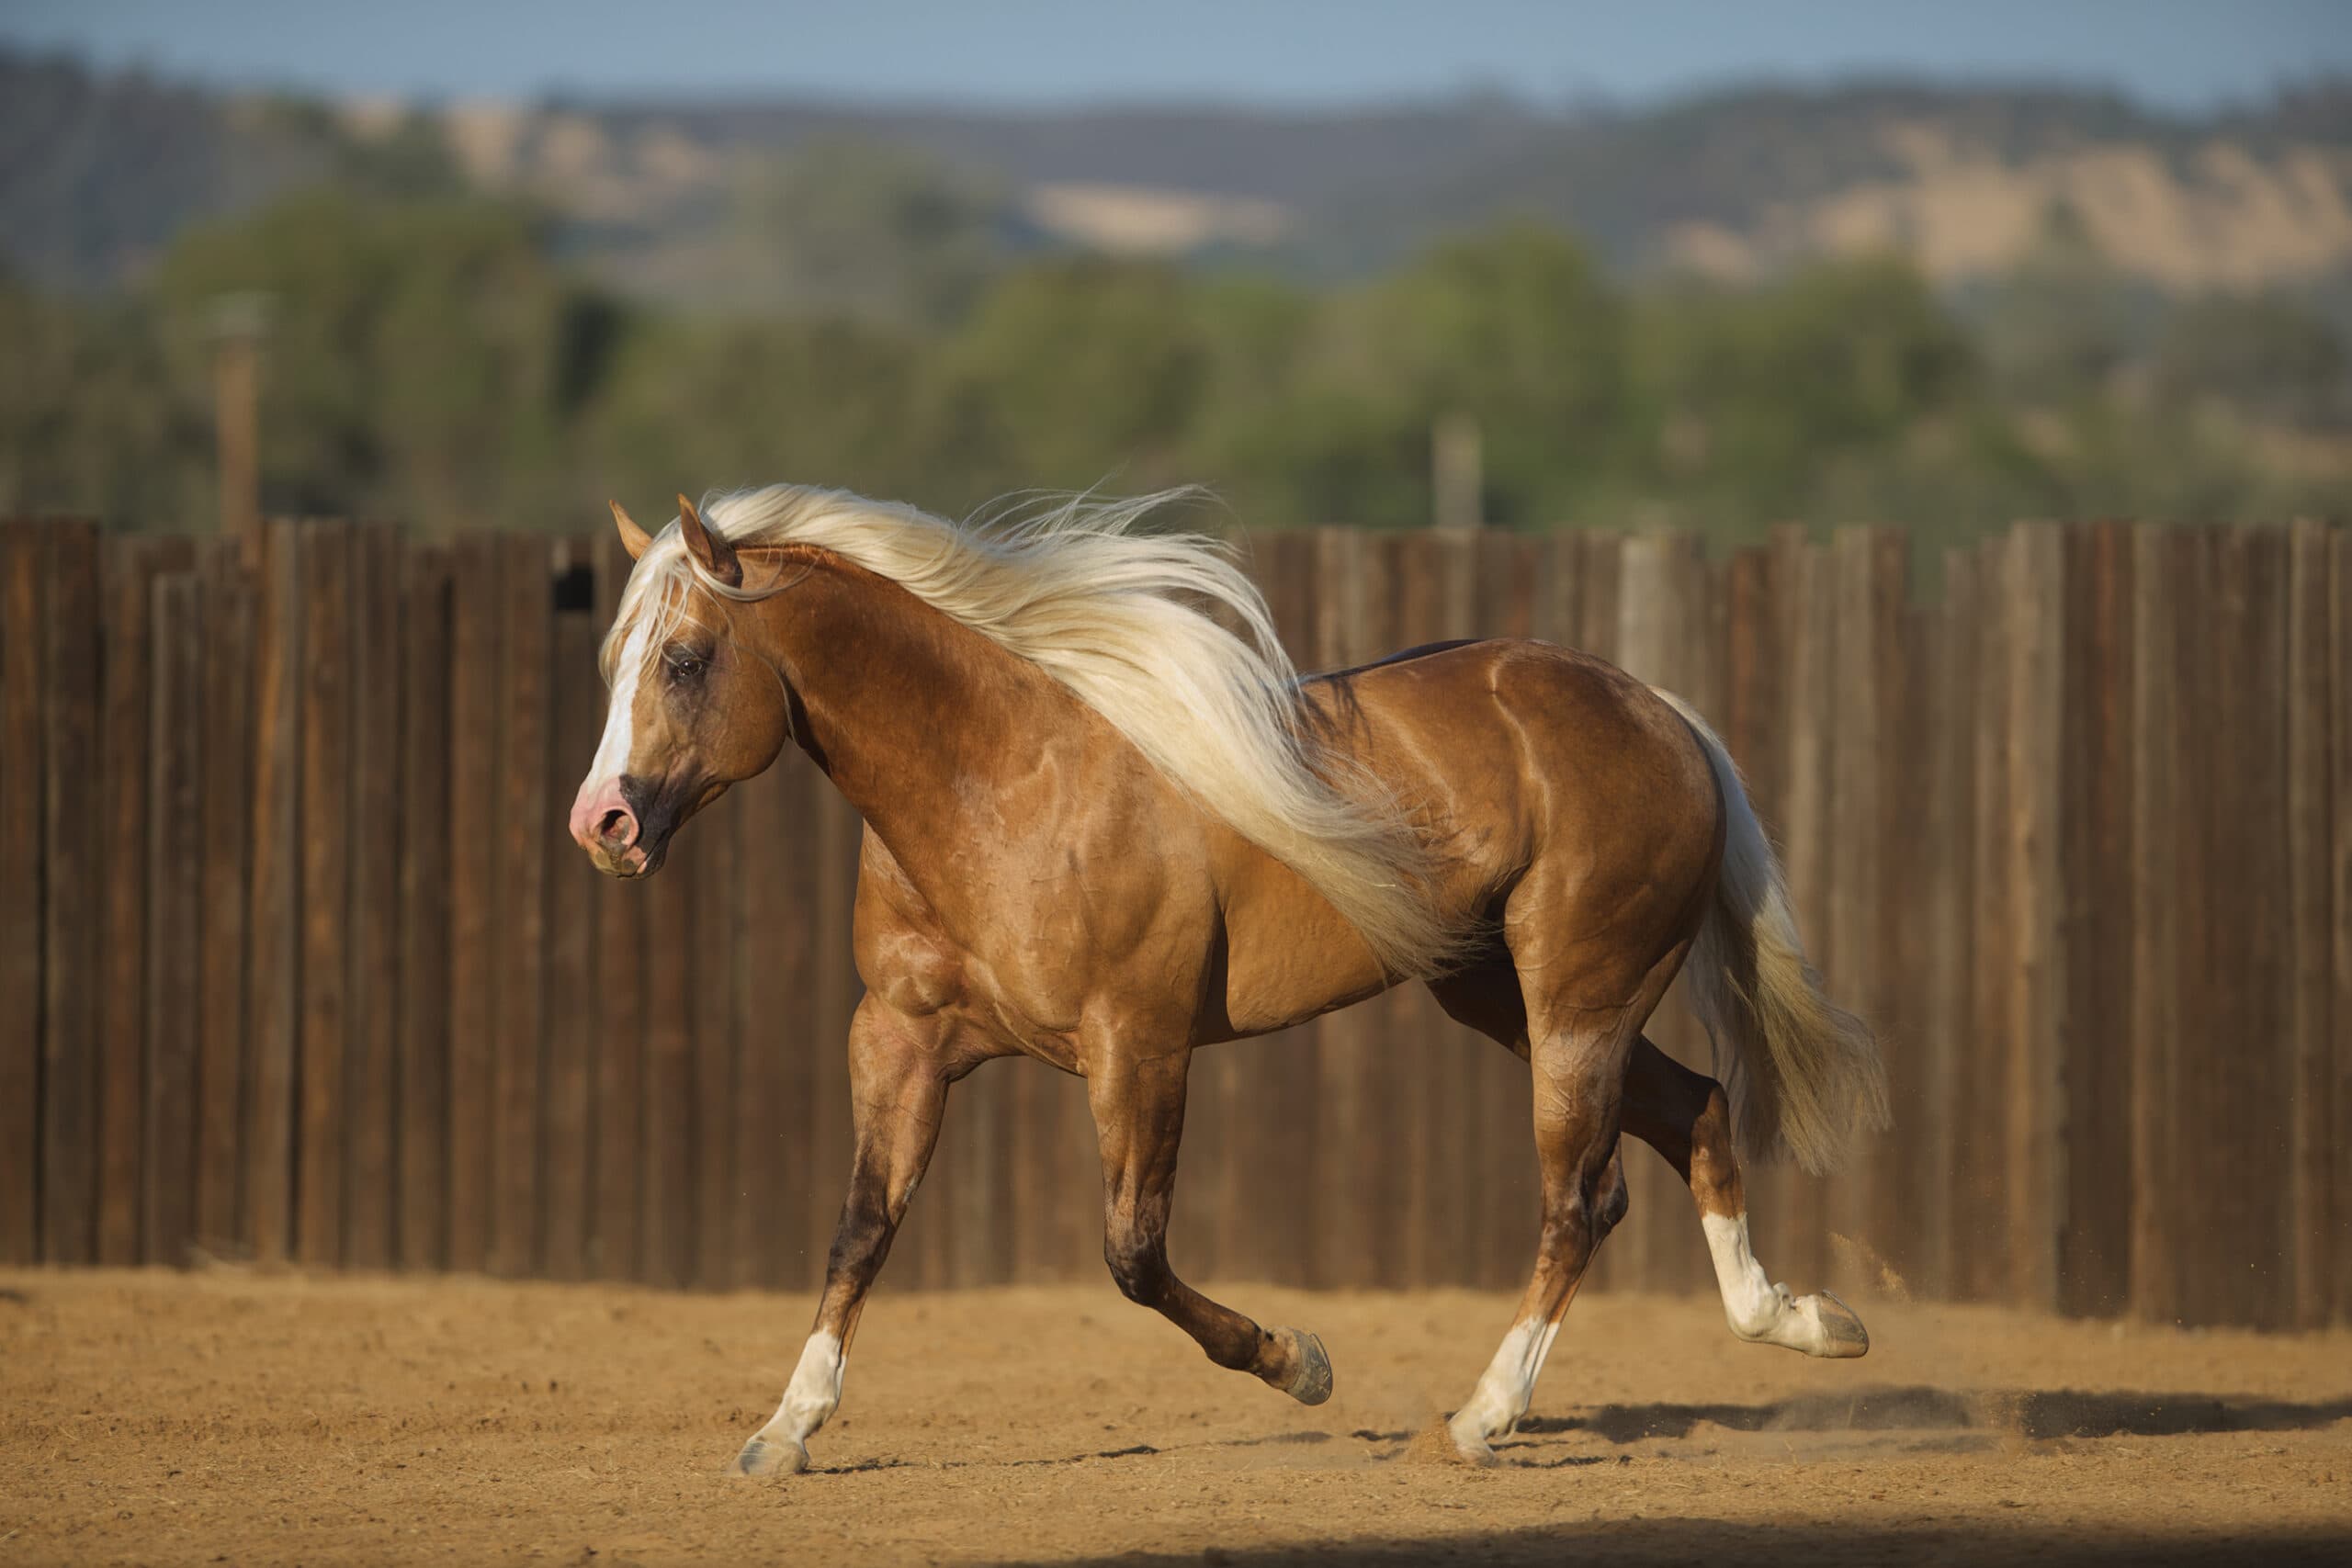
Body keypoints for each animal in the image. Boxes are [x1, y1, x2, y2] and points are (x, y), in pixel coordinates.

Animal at [567, 486, 1889, 1476]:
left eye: (685, 657)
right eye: (611, 658)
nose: (603, 822)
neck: (999, 779)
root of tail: (1661, 714)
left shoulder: (1137, 1044)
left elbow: (1135, 1255)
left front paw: (1301, 1363)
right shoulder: (898, 1038)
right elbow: (860, 1227)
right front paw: (784, 1429)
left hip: (1576, 1003)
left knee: (1583, 1198)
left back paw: (1480, 1419)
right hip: (1506, 998)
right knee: (1699, 1113)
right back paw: (1808, 1323)